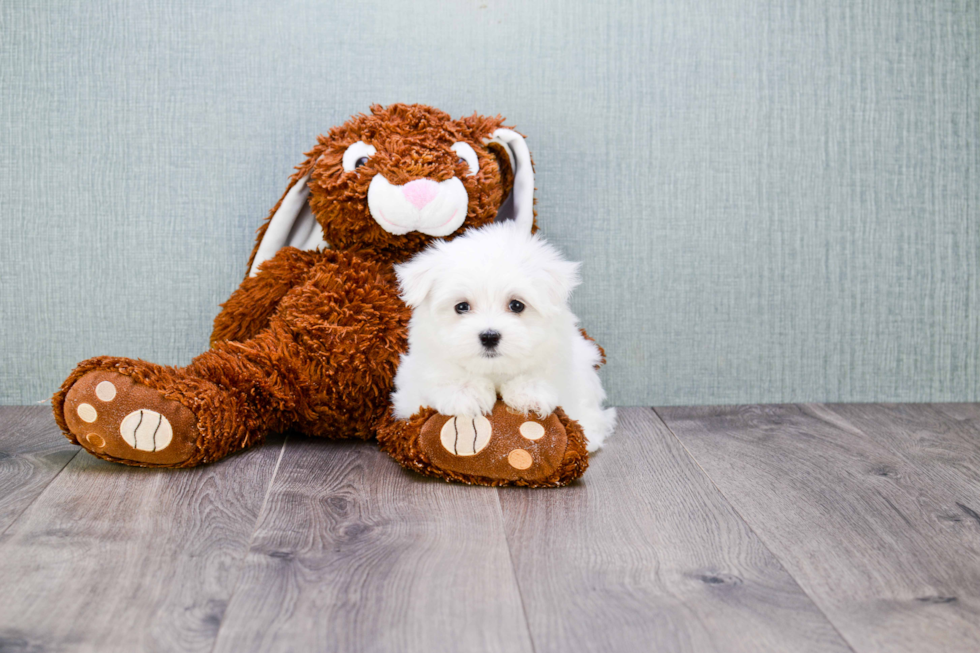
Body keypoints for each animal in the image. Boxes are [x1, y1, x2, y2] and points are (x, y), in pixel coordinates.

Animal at [388, 222, 612, 450]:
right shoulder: (414, 381)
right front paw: (466, 392)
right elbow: (443, 374)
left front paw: (529, 392)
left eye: (516, 305)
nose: (489, 336)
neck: (494, 371)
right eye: (461, 307)